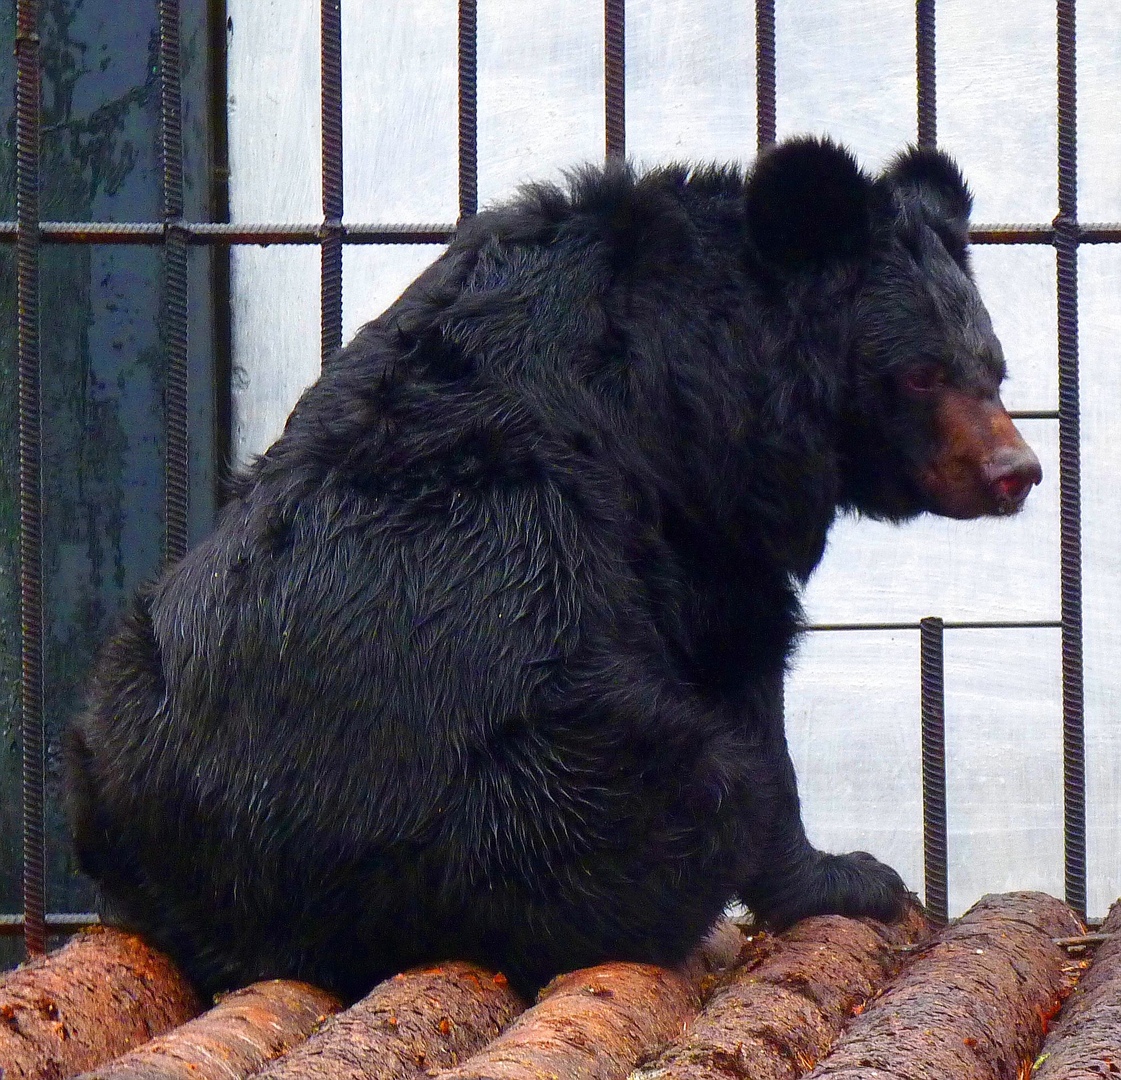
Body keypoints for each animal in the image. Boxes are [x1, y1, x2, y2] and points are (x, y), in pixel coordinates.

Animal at [64, 137, 1041, 1002]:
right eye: (920, 375)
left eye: (993, 368)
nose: (1015, 472)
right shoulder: (695, 494)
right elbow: (742, 659)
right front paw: (853, 877)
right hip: (554, 781)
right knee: (694, 790)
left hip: (119, 706)